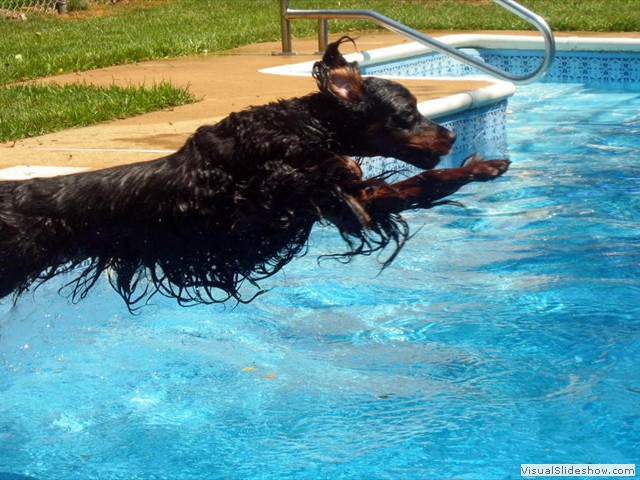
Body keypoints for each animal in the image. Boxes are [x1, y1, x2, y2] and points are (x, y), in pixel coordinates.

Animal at [0, 36, 510, 308]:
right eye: (407, 115)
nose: (449, 138)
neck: (305, 129)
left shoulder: (343, 201)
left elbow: (418, 183)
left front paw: (482, 166)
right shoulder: (284, 193)